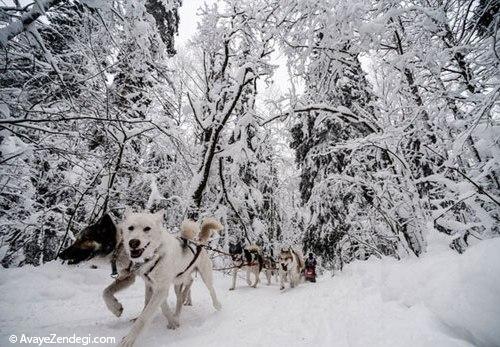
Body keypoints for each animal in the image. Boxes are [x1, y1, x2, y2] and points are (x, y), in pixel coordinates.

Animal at [108, 211, 222, 346]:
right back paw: (180, 306)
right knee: (185, 289)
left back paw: (217, 305)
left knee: (211, 289)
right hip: (178, 280)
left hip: (205, 276)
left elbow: (144, 317)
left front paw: (129, 339)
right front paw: (172, 321)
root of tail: (197, 242)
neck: (155, 255)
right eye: (130, 228)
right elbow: (156, 306)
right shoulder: (152, 285)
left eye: (147, 228)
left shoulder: (161, 289)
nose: (133, 242)